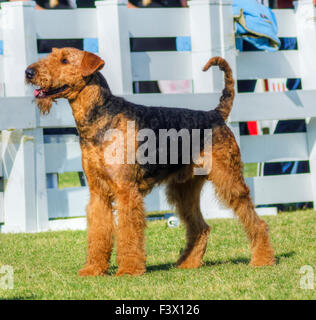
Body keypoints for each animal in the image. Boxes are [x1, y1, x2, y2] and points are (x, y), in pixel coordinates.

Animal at [25, 48, 276, 278]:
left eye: (65, 60)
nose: (29, 72)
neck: (100, 117)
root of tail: (215, 115)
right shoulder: (98, 192)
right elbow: (99, 232)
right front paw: (93, 269)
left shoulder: (126, 191)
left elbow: (128, 233)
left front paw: (128, 270)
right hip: (183, 190)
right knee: (201, 227)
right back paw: (188, 263)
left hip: (229, 179)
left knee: (256, 221)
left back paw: (262, 259)